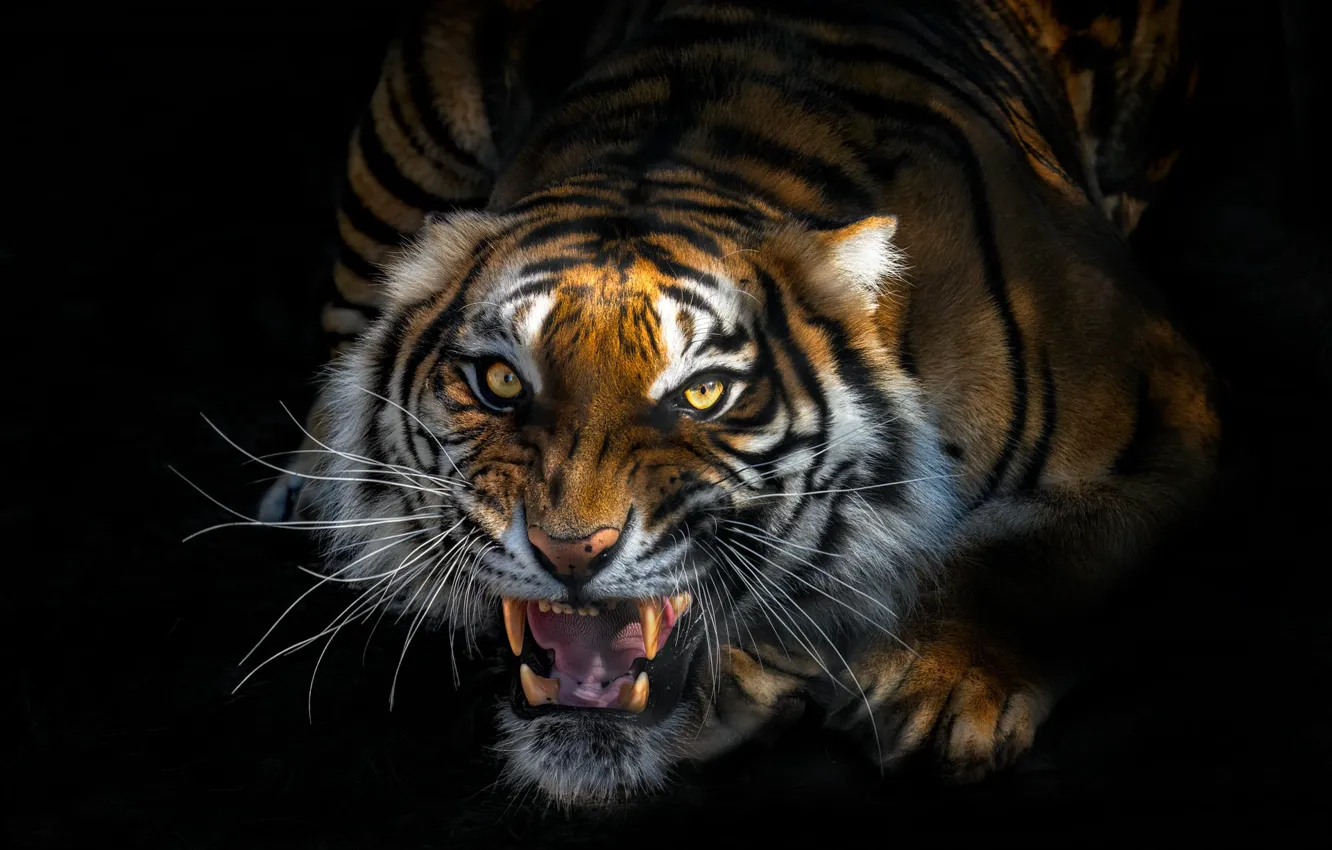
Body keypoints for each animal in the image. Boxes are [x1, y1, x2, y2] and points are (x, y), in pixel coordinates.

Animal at [254, 0, 1218, 808]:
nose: (570, 552)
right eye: (500, 382)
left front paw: (940, 694)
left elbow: (1046, 560)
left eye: (705, 391)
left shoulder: (1175, 413)